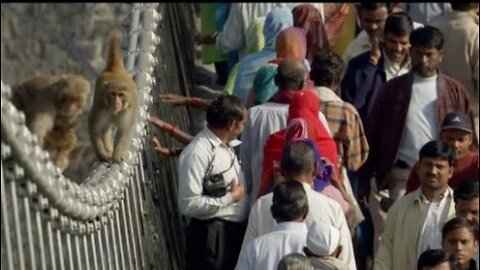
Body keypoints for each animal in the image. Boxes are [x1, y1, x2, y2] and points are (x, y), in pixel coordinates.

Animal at [88, 30, 138, 163]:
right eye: (113, 94)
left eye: (121, 95)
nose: (116, 102)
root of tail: (114, 69)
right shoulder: (101, 107)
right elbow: (95, 128)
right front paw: (102, 155)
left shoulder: (127, 110)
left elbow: (124, 131)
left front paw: (117, 156)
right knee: (105, 128)